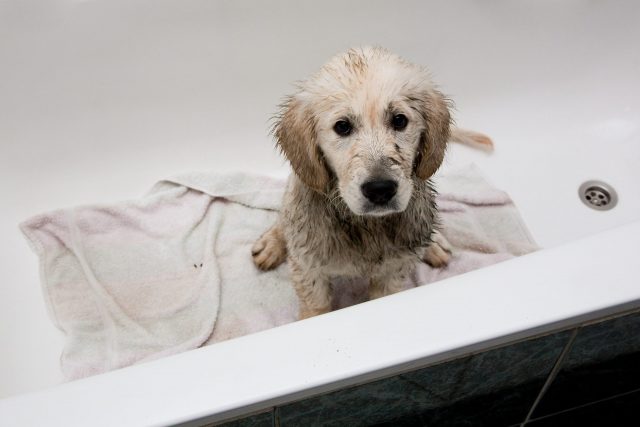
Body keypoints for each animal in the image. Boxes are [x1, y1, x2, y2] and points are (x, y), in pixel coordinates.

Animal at [250, 48, 490, 320]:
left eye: (399, 120)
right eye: (342, 126)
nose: (380, 189)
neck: (366, 226)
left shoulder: (393, 271)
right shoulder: (310, 269)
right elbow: (315, 307)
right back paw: (272, 243)